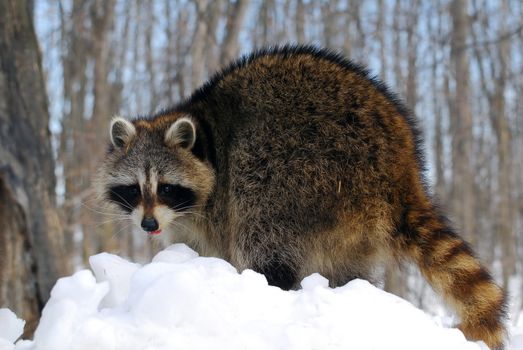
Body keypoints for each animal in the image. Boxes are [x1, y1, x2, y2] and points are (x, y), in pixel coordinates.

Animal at [95, 46, 508, 350]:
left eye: (165, 187)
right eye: (133, 189)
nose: (148, 224)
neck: (204, 131)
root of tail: (398, 171)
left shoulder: (217, 201)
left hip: (301, 172)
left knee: (260, 224)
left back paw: (268, 283)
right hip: (349, 221)